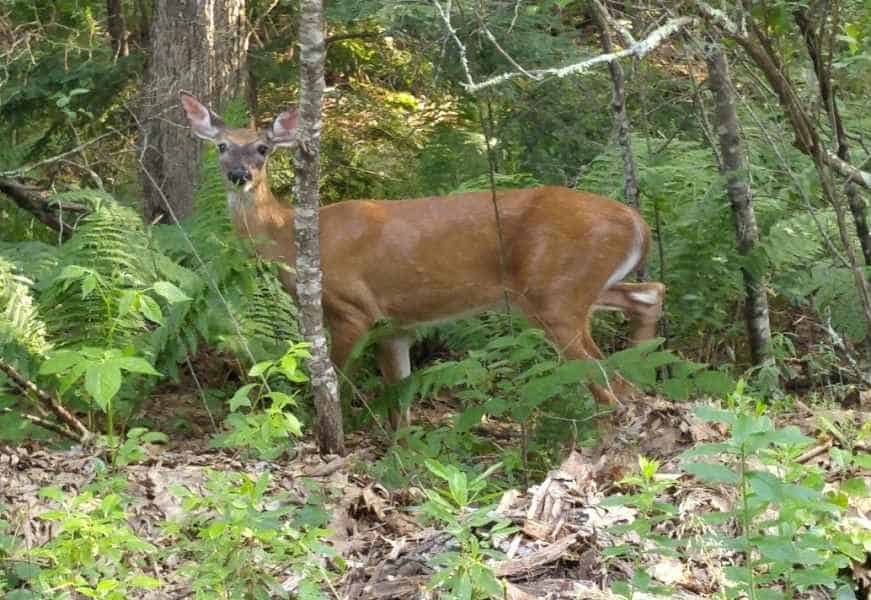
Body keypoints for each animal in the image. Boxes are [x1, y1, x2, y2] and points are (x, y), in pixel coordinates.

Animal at [181, 92, 664, 432]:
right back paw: (646, 369)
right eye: (221, 146)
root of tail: (637, 221)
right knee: (650, 296)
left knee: (605, 379)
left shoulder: (353, 309)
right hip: (577, 287)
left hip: (555, 295)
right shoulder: (395, 326)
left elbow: (336, 384)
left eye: (263, 148)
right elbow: (401, 409)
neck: (289, 240)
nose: (238, 175)